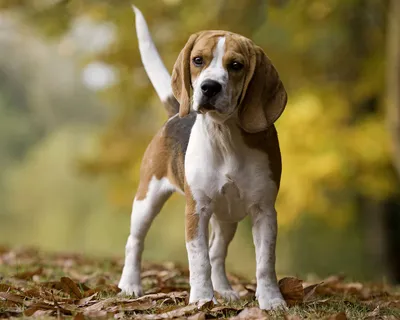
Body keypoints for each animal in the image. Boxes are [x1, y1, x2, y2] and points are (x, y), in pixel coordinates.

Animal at [118, 5, 288, 310]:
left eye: (236, 65)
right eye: (198, 60)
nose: (209, 87)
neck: (225, 136)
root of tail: (175, 112)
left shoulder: (264, 211)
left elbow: (265, 263)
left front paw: (271, 300)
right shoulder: (197, 209)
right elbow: (199, 260)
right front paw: (202, 298)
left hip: (227, 218)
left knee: (217, 252)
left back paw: (225, 290)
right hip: (147, 199)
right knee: (134, 242)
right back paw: (130, 285)